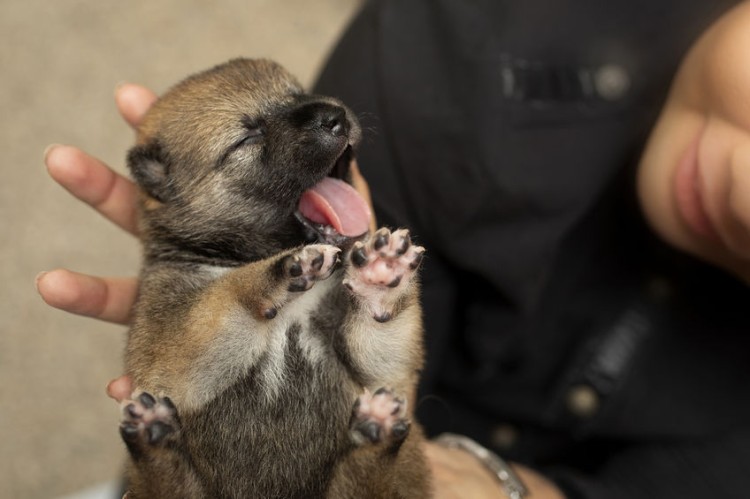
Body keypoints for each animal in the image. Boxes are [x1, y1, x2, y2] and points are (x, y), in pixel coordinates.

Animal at [120, 57, 432, 496]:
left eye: (298, 93)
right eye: (248, 136)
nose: (335, 116)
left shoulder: (385, 372)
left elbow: (382, 337)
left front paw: (381, 277)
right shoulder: (174, 353)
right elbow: (221, 294)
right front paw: (285, 268)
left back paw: (377, 431)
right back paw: (153, 435)